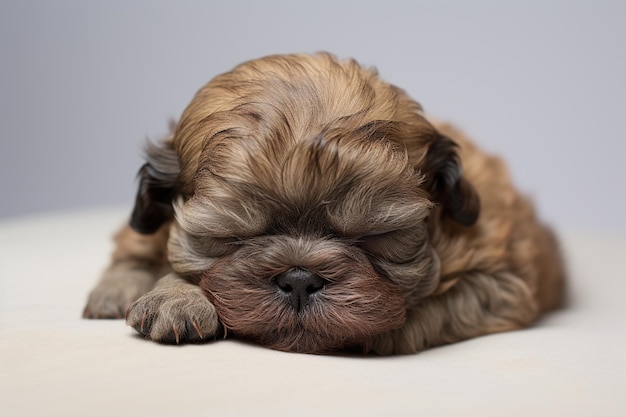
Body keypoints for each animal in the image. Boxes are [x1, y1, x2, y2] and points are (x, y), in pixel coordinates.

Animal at [80, 50, 564, 352]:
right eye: (231, 237)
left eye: (375, 234)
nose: (299, 279)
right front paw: (177, 297)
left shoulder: (502, 280)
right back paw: (115, 290)